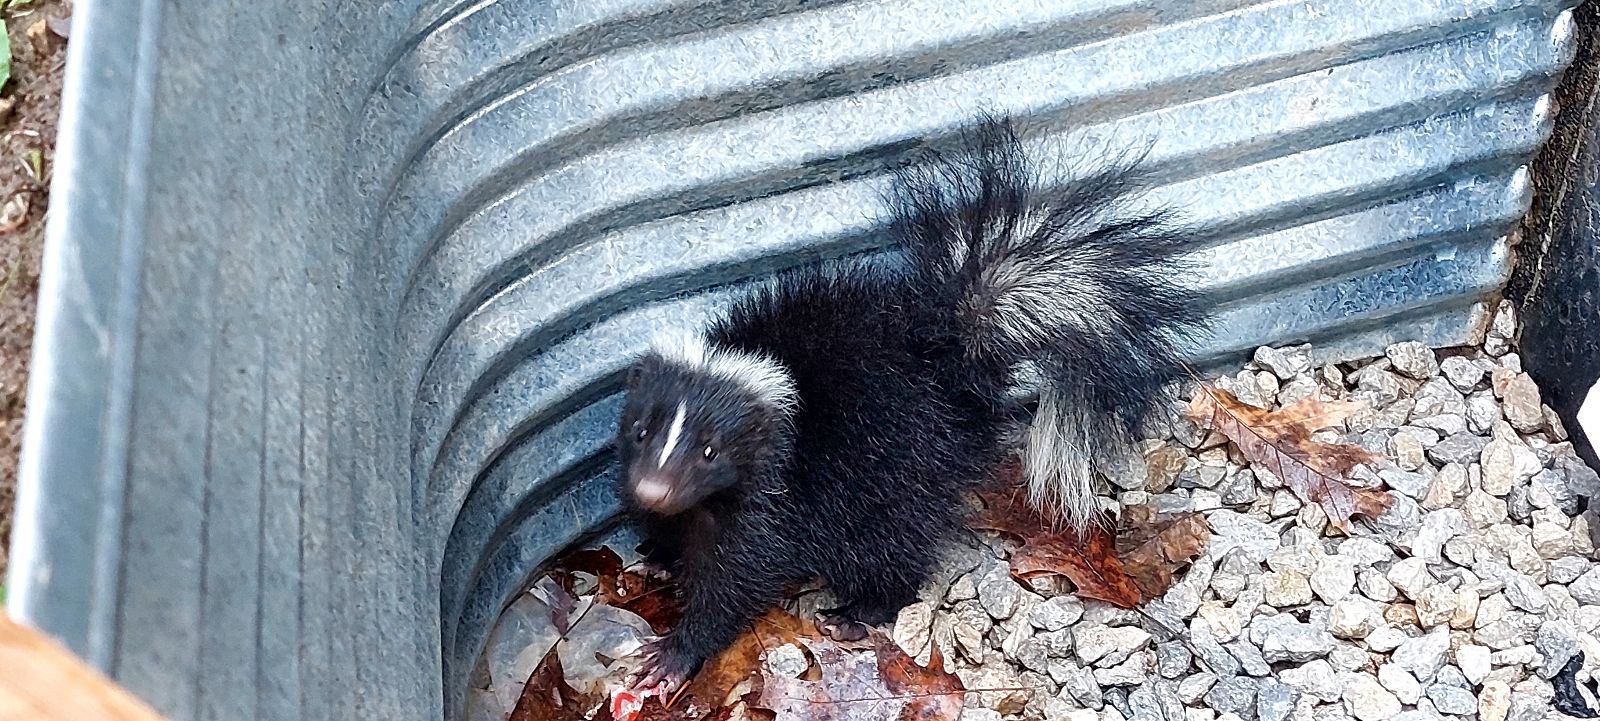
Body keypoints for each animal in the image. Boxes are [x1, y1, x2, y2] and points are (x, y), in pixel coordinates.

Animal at [617, 114, 1203, 693]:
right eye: (641, 431)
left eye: (710, 451)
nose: (652, 489)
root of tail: (953, 364)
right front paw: (659, 557)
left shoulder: (777, 494)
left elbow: (740, 577)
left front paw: (673, 656)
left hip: (892, 474)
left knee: (894, 545)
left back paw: (858, 613)